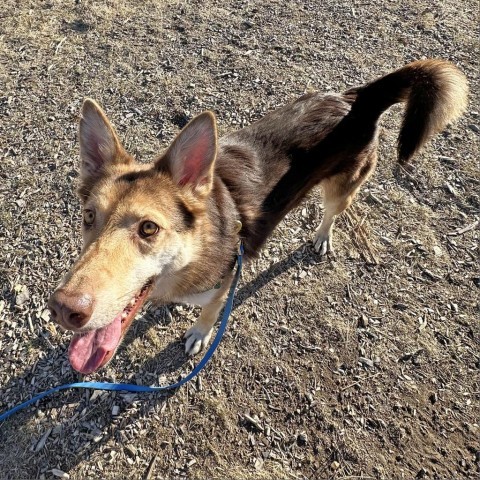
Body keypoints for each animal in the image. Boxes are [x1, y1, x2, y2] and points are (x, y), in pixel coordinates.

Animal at [47, 59, 466, 376]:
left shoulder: (224, 286)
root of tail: (353, 97)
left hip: (340, 188)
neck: (196, 250)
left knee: (334, 212)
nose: (64, 310)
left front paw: (198, 334)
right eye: (88, 216)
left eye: (149, 228)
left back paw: (322, 236)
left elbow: (209, 314)